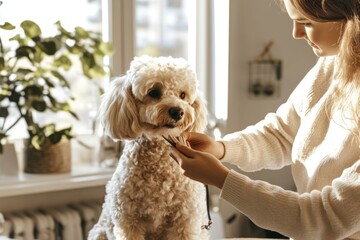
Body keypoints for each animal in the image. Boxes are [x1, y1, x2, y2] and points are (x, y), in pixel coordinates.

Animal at [87, 55, 210, 239]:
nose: (178, 111)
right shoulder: (128, 222)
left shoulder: (185, 221)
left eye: (182, 95)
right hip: (99, 232)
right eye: (154, 92)